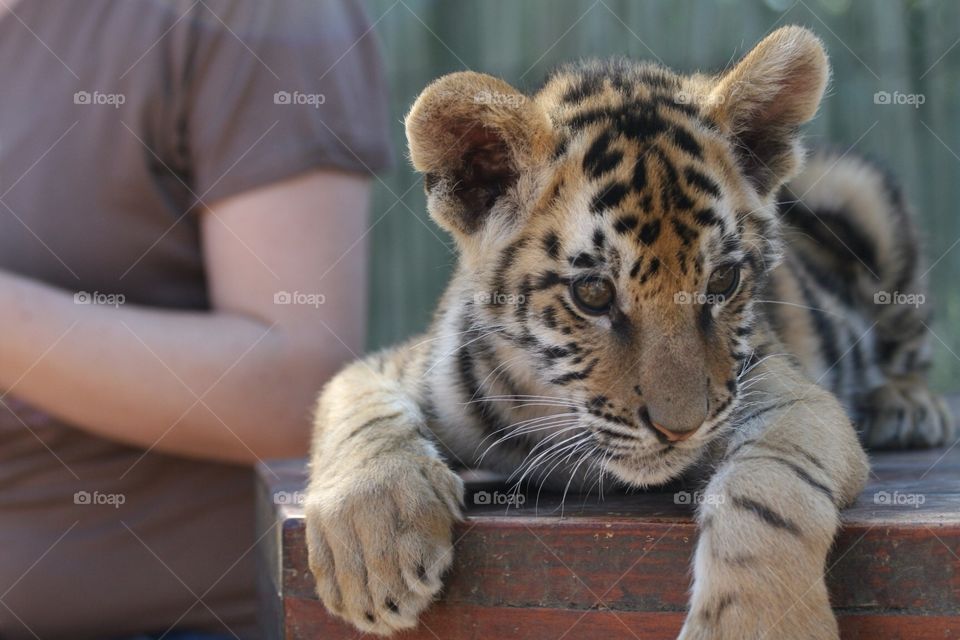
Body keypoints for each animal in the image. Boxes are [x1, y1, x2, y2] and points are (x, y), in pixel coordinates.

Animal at [304, 26, 953, 639]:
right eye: (593, 293)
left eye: (723, 280)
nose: (679, 428)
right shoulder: (400, 361)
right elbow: (354, 406)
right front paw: (374, 551)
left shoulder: (785, 392)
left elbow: (772, 488)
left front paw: (758, 624)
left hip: (855, 190)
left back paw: (908, 406)